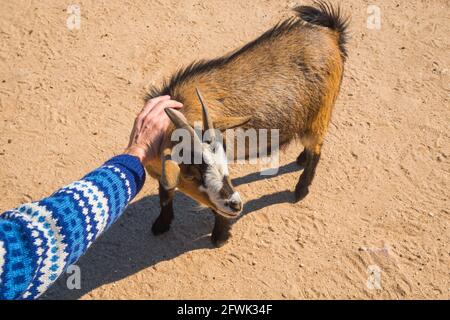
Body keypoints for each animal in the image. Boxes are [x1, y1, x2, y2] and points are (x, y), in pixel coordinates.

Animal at [144, 1, 348, 246]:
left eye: (223, 160)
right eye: (191, 174)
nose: (236, 204)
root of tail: (331, 35)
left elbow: (215, 209)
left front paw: (220, 236)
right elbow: (165, 194)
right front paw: (161, 224)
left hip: (320, 114)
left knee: (317, 149)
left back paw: (301, 190)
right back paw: (301, 158)